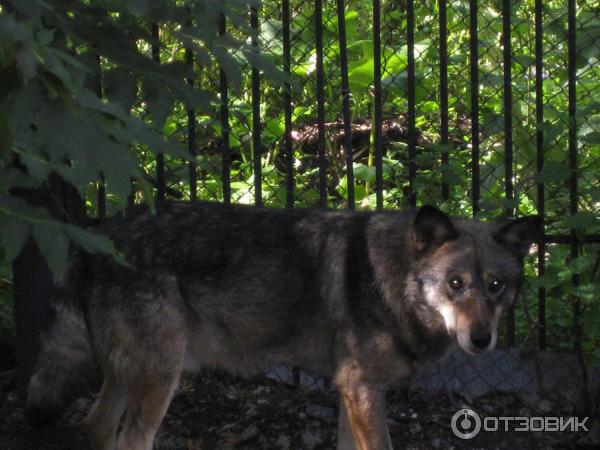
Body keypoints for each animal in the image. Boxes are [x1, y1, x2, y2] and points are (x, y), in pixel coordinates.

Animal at [24, 202, 540, 448]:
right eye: (455, 283)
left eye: (495, 286)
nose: (482, 339)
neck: (390, 280)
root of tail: (98, 236)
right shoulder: (361, 391)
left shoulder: (351, 392)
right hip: (159, 378)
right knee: (128, 439)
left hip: (129, 372)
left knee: (95, 425)